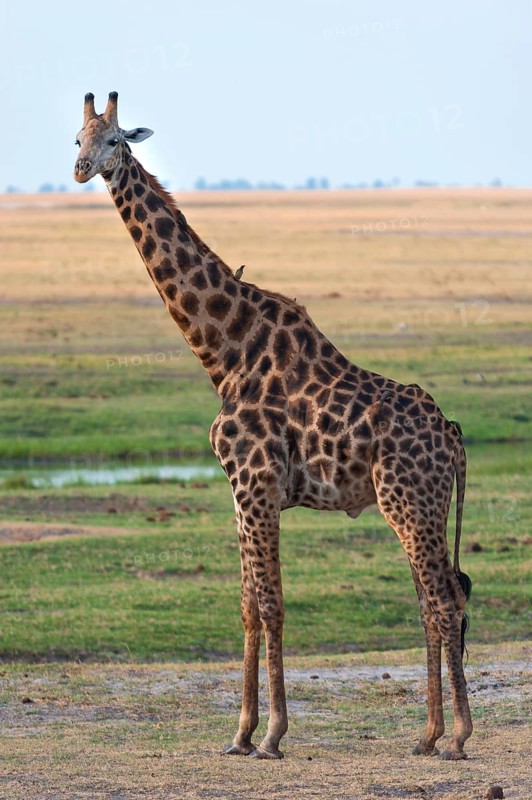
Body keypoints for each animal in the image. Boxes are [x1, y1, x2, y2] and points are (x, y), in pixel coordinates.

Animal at [74, 92, 473, 761]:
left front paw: (273, 733)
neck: (223, 352)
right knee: (440, 595)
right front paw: (239, 733)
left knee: (442, 600)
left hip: (407, 501)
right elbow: (247, 607)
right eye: (77, 137)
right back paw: (429, 734)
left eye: (114, 139)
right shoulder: (241, 491)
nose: (81, 169)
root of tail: (455, 437)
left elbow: (272, 603)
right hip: (429, 504)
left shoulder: (256, 484)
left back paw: (456, 735)